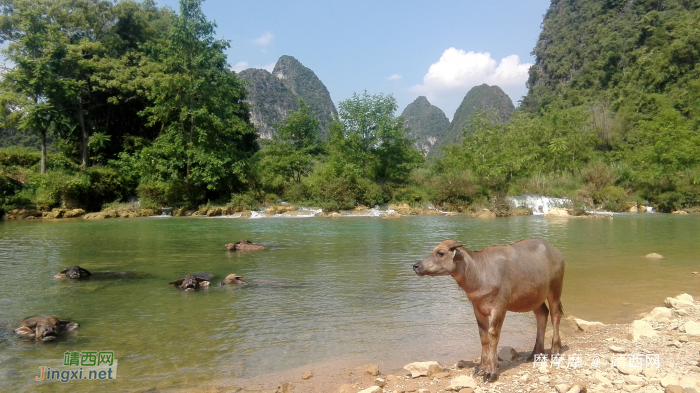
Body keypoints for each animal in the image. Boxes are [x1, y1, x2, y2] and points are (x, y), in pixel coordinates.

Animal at [412, 237, 568, 382]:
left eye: (440, 253)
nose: (416, 265)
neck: (479, 273)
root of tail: (556, 252)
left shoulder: (499, 307)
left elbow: (493, 335)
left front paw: (491, 372)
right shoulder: (478, 308)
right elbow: (483, 336)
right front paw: (481, 368)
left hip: (555, 288)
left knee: (555, 315)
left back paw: (555, 350)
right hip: (535, 297)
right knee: (542, 314)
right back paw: (536, 353)